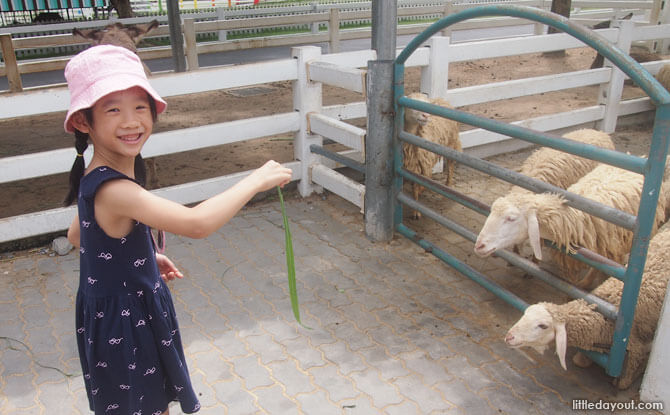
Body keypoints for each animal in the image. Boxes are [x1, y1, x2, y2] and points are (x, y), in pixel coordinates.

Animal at [506, 224, 670, 390]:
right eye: (525, 314)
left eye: (543, 326)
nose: (509, 336)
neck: (606, 318)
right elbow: (580, 361)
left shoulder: (635, 345)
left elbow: (624, 382)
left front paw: (636, 372)